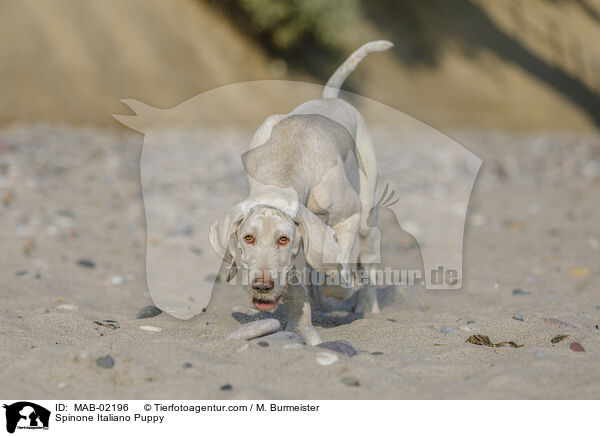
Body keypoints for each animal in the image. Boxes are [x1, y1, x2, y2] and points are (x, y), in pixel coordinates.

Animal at [211, 41, 394, 344]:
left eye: (283, 239)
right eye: (248, 237)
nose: (262, 286)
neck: (287, 161)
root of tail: (331, 97)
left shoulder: (348, 217)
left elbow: (337, 274)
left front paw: (345, 286)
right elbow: (298, 282)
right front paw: (300, 322)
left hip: (366, 214)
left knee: (366, 254)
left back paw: (366, 303)